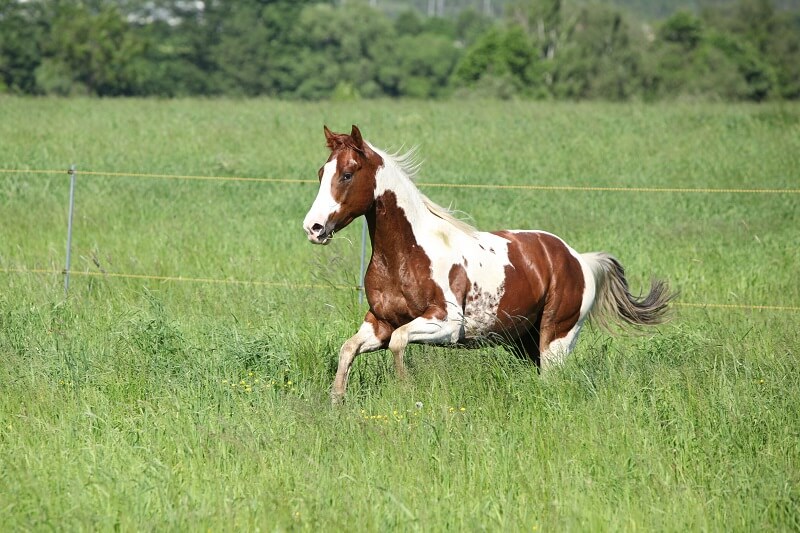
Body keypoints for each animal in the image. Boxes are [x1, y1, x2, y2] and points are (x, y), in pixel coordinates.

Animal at [304, 125, 672, 404]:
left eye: (347, 174)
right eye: (322, 173)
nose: (313, 228)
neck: (406, 254)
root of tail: (578, 259)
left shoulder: (446, 324)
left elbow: (399, 342)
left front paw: (407, 391)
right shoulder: (379, 322)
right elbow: (348, 348)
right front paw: (337, 400)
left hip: (557, 339)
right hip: (524, 342)